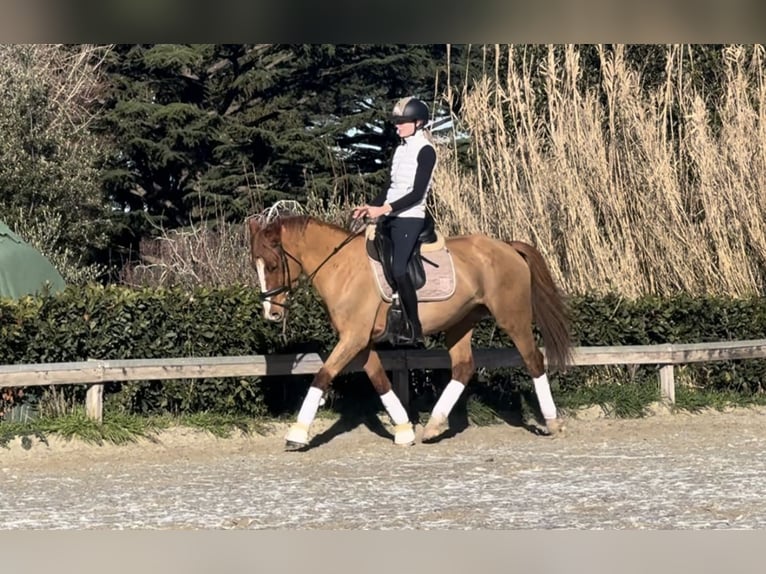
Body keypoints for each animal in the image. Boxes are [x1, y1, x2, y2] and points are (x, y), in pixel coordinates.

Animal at [247, 210, 572, 450]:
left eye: (273, 265)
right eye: (255, 266)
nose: (271, 314)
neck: (341, 267)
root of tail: (507, 247)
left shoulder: (353, 338)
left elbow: (322, 375)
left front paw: (297, 434)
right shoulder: (361, 341)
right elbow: (380, 380)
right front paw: (404, 430)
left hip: (512, 318)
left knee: (533, 360)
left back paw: (552, 422)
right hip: (460, 322)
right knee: (463, 367)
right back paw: (434, 426)